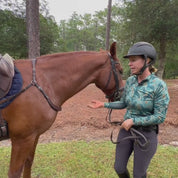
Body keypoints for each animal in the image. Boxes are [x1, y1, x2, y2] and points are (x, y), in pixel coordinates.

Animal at [1, 42, 124, 177]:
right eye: (120, 71)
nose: (122, 94)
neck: (42, 82)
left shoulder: (33, 136)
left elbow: (28, 163)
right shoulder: (21, 139)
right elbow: (15, 172)